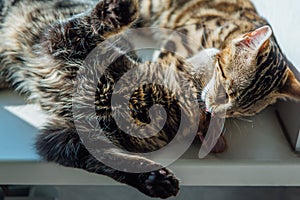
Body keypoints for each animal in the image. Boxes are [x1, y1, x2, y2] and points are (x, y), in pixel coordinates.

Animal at [0, 0, 298, 198]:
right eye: (221, 84)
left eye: (233, 111)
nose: (214, 108)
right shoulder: (64, 39)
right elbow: (88, 23)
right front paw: (119, 9)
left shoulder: (66, 138)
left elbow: (103, 160)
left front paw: (154, 179)